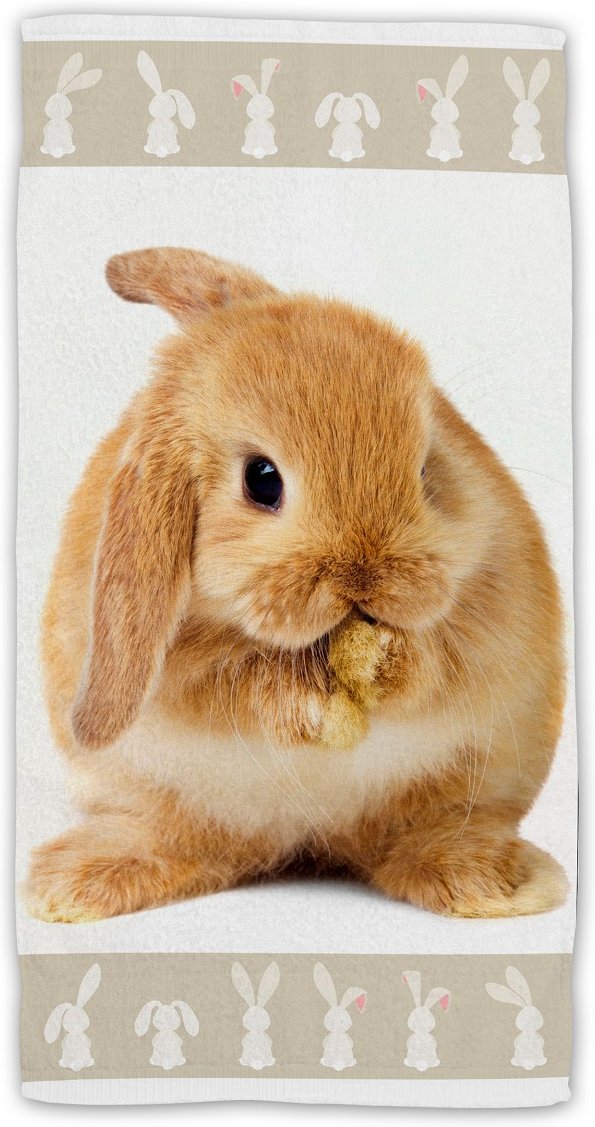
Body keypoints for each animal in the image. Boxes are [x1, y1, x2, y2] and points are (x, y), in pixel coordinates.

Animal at [26, 245, 568, 924]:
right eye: (262, 480)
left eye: (426, 470)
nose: (366, 576)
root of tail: (315, 842)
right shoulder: (192, 677)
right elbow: (242, 686)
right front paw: (320, 706)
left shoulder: (485, 615)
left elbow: (433, 665)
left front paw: (383, 663)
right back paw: (74, 887)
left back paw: (491, 883)